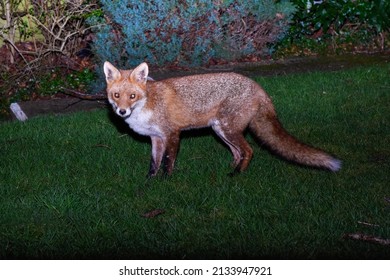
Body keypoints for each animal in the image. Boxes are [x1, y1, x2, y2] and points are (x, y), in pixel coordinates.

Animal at [103, 62, 342, 176]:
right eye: (116, 95)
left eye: (132, 96)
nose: (122, 112)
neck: (148, 103)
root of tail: (258, 87)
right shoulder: (156, 138)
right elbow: (154, 163)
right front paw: (149, 182)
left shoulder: (172, 134)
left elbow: (168, 163)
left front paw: (165, 182)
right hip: (221, 130)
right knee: (237, 152)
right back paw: (229, 169)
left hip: (227, 129)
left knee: (249, 151)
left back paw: (236, 175)